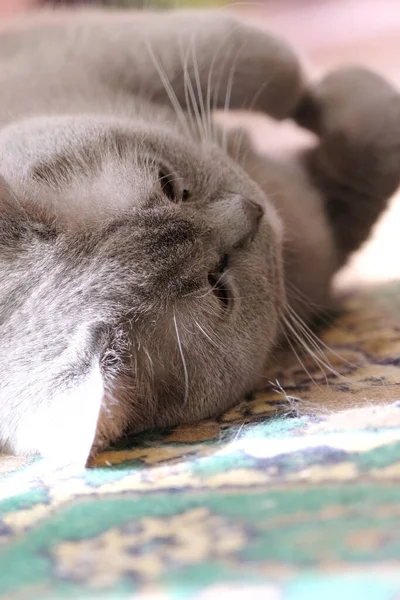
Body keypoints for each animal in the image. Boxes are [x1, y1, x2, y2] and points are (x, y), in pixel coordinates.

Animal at [0, 9, 400, 466]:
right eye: (218, 287)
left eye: (169, 185)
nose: (253, 209)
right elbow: (369, 159)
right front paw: (349, 94)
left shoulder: (103, 46)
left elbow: (264, 60)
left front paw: (316, 96)